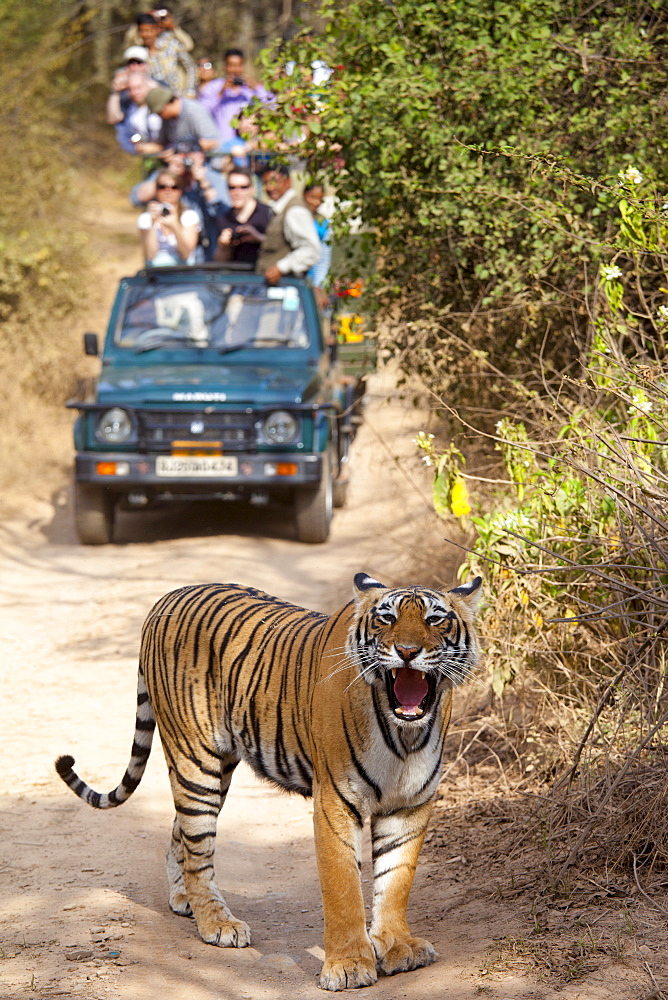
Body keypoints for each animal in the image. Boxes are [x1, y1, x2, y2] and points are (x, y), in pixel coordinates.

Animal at [53, 572, 480, 992]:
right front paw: (348, 966)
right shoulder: (335, 802)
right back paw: (217, 923)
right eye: (386, 619)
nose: (407, 651)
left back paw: (183, 898)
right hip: (195, 760)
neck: (404, 735)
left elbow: (395, 881)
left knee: (181, 834)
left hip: (216, 769)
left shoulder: (410, 805)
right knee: (198, 845)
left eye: (435, 620)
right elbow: (343, 887)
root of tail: (169, 595)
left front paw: (398, 947)